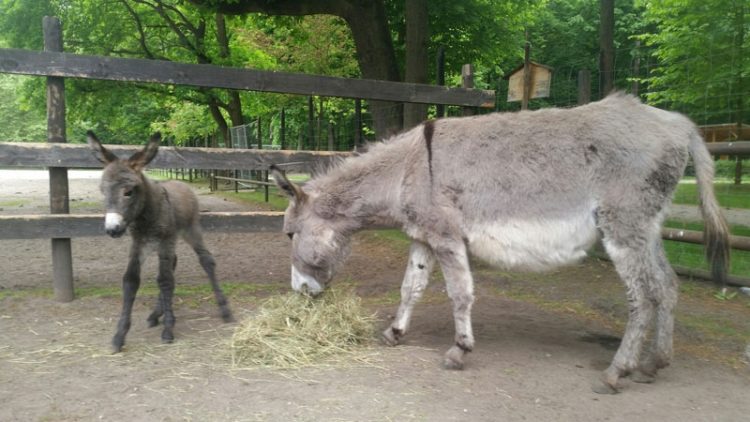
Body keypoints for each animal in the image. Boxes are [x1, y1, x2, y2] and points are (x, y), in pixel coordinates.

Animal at [86, 133, 232, 352]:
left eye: (128, 192)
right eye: (103, 191)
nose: (112, 229)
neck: (146, 215)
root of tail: (181, 183)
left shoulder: (164, 241)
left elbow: (165, 280)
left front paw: (168, 330)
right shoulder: (138, 245)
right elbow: (131, 280)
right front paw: (119, 335)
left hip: (190, 231)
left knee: (206, 261)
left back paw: (224, 310)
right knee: (173, 263)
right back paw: (157, 313)